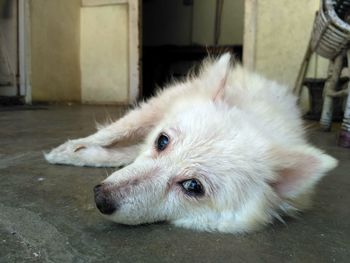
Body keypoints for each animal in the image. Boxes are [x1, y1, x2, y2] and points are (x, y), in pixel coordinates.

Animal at [45, 53, 338, 233]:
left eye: (193, 186)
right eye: (162, 141)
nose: (100, 198)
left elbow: (118, 156)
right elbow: (111, 141)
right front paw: (72, 153)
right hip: (156, 106)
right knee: (113, 132)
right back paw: (69, 149)